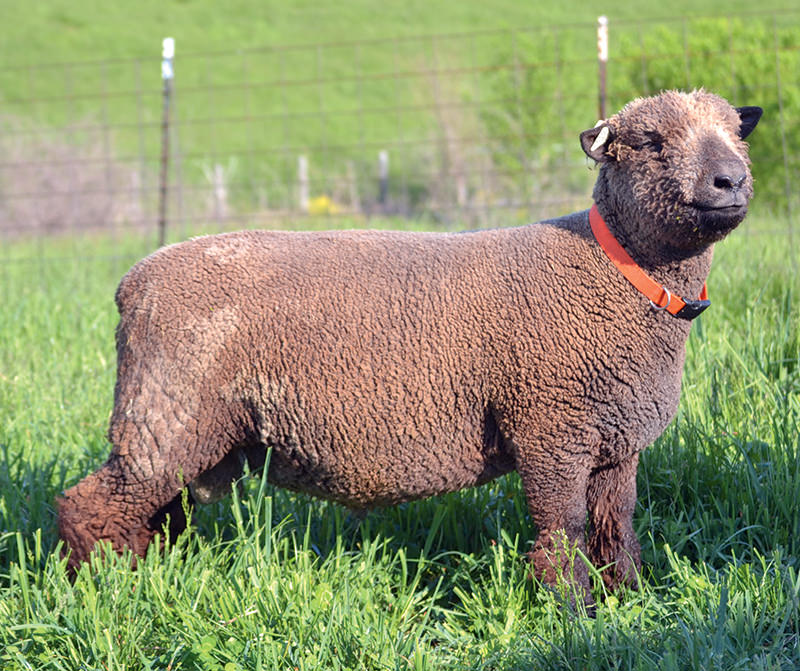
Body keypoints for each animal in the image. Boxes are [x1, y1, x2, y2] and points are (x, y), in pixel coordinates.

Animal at [58, 90, 761, 602]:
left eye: (738, 132)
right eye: (650, 142)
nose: (730, 181)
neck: (614, 273)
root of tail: (134, 281)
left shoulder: (616, 442)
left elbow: (618, 531)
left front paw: (630, 603)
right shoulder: (550, 429)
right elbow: (562, 534)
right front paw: (572, 613)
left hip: (198, 432)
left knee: (152, 511)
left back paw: (141, 578)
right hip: (167, 412)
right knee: (88, 504)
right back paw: (97, 593)